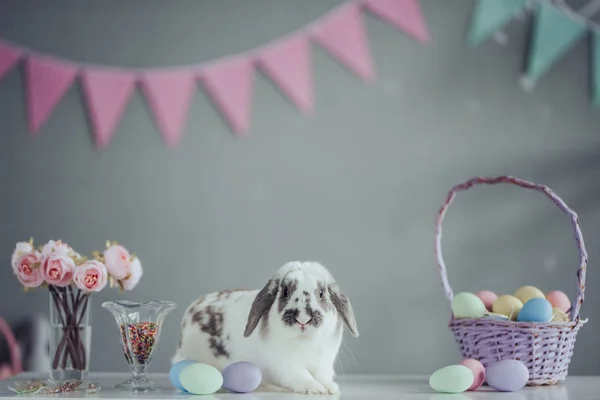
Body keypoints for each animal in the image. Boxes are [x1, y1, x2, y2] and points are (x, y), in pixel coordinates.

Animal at [172, 260, 360, 396]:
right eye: (285, 292)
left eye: (321, 293)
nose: (303, 319)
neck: (304, 341)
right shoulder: (287, 366)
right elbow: (301, 376)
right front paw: (314, 388)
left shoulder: (323, 364)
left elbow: (323, 377)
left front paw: (330, 388)